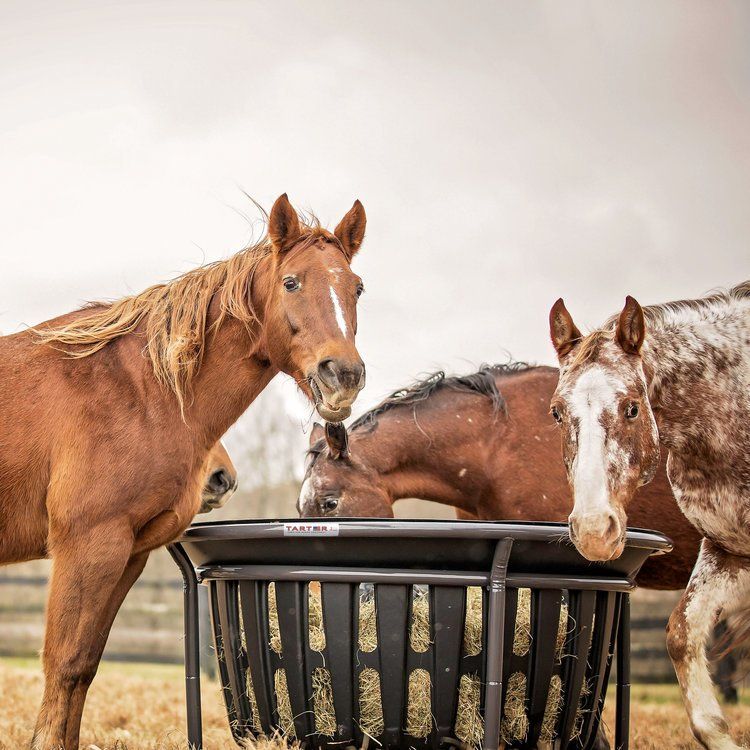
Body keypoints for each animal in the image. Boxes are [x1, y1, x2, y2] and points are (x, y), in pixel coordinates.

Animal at [0, 193, 368, 750]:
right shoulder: (86, 546)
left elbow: (85, 667)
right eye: (291, 282)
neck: (135, 388)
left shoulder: (128, 554)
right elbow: (63, 666)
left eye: (357, 288)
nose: (342, 375)